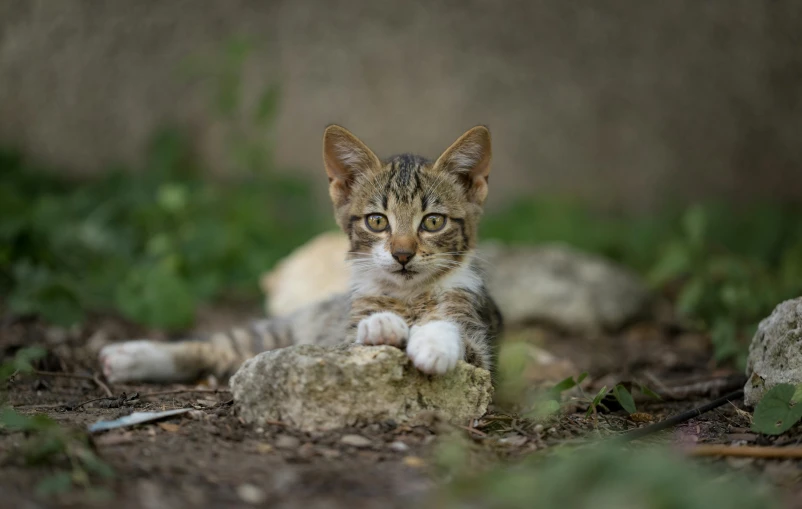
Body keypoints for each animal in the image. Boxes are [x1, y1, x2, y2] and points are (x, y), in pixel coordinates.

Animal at [98, 125, 500, 382]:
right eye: (377, 221)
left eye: (432, 222)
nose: (402, 254)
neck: (409, 295)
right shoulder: (341, 338)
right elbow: (360, 334)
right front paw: (382, 325)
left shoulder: (480, 343)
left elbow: (452, 330)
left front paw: (433, 343)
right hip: (279, 332)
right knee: (216, 344)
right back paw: (132, 356)